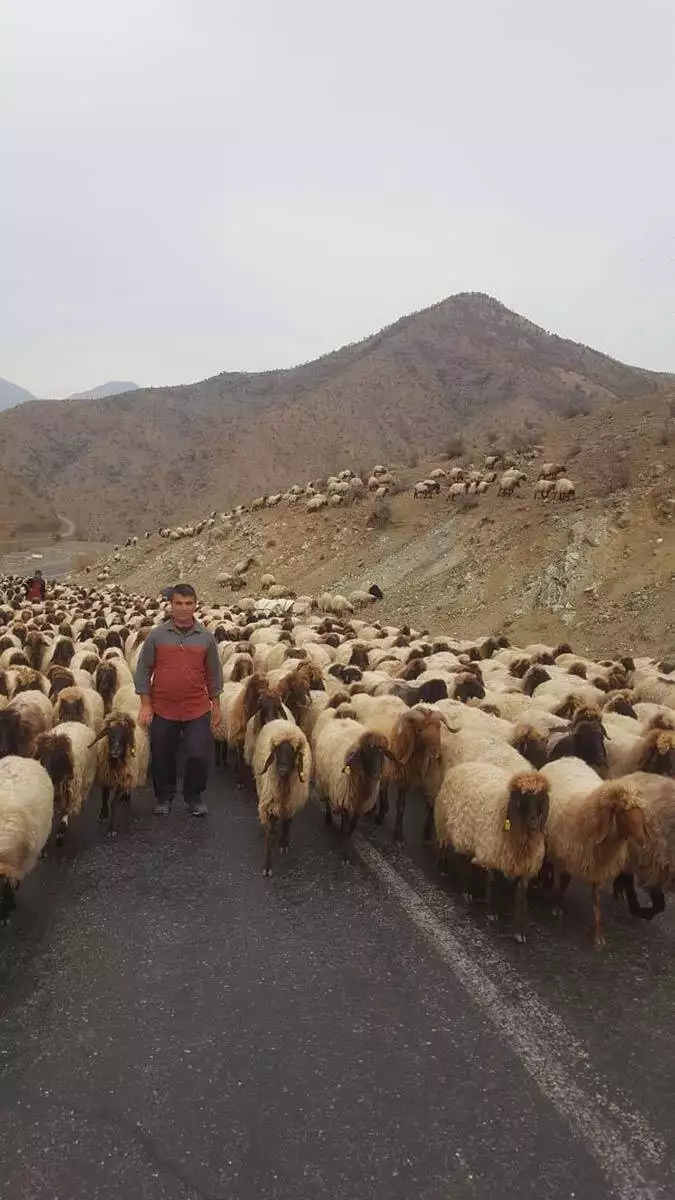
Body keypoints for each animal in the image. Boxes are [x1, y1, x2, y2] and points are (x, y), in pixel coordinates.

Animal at [249, 715, 309, 878]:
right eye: (277, 750)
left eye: (293, 752)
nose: (282, 769)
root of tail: (282, 721)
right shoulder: (270, 804)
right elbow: (270, 835)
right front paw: (267, 866)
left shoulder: (290, 804)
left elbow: (287, 823)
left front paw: (284, 843)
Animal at [432, 763, 550, 940]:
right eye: (523, 797)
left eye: (540, 799)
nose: (534, 821)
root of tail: (464, 765)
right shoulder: (492, 854)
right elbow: (492, 882)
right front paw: (492, 912)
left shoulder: (525, 867)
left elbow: (521, 897)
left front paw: (520, 931)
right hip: (448, 823)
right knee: (452, 851)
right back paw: (458, 883)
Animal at [538, 758, 643, 945]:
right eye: (623, 811)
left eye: (640, 811)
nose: (643, 839)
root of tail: (567, 758)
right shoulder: (567, 856)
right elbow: (564, 882)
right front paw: (557, 907)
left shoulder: (599, 868)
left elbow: (597, 899)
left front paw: (598, 934)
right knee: (546, 865)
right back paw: (545, 886)